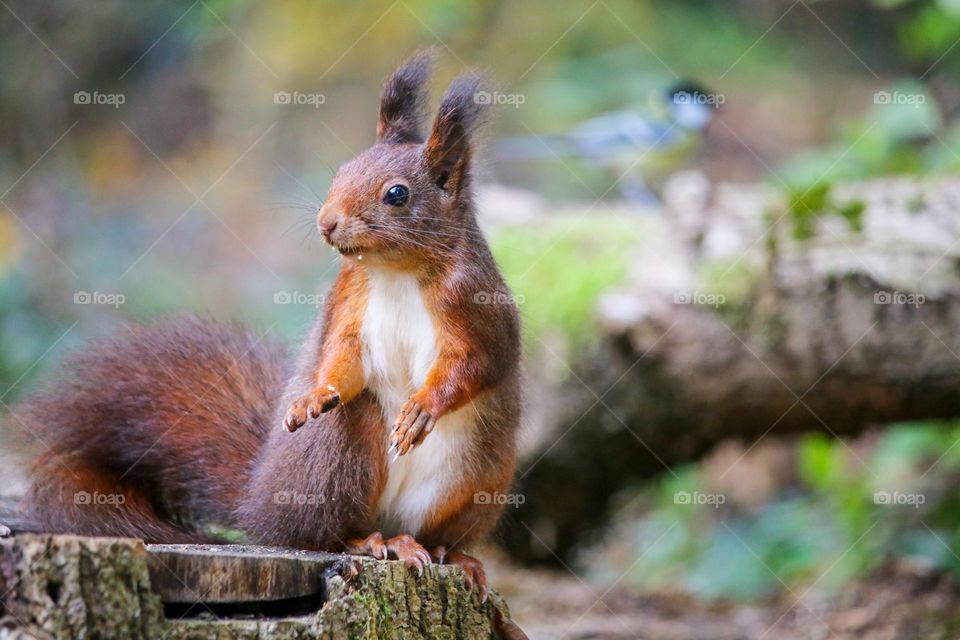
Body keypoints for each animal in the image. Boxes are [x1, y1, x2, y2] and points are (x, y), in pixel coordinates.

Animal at [15, 52, 520, 604]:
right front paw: (314, 394)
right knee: (323, 529)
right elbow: (342, 356)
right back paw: (373, 541)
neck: (396, 272)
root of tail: (257, 503)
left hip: (477, 479)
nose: (326, 222)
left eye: (397, 194)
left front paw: (423, 407)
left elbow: (478, 362)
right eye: (341, 170)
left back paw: (450, 554)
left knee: (435, 534)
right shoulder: (349, 301)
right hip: (332, 462)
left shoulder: (477, 305)